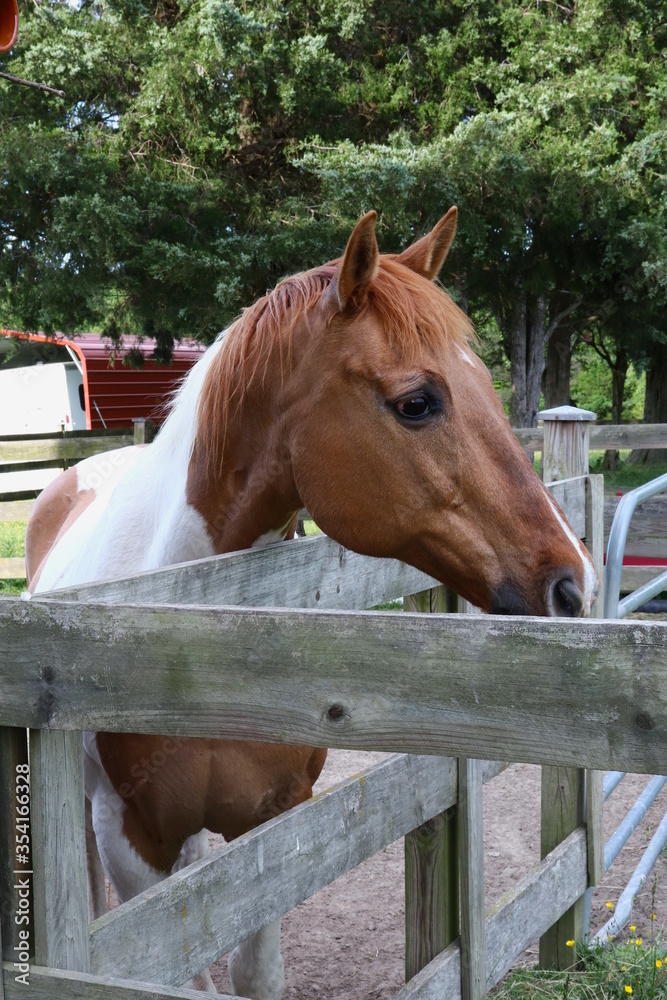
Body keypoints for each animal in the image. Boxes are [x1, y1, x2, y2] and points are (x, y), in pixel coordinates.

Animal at [25, 208, 599, 997]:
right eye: (416, 403)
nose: (573, 583)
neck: (178, 624)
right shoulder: (131, 840)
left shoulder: (272, 825)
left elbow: (255, 972)